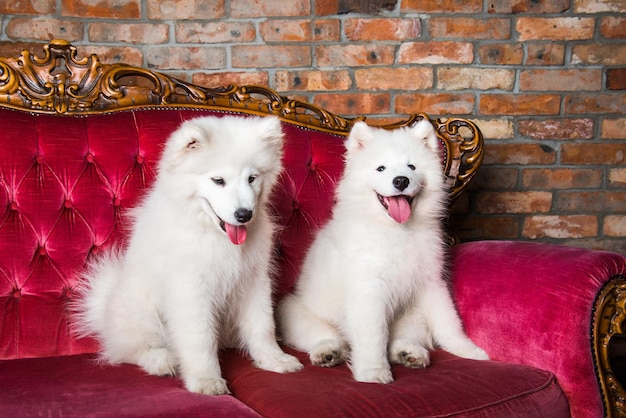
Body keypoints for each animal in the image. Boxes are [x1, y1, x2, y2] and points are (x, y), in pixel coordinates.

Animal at [73, 114, 302, 396]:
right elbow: (199, 337)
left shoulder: (253, 280)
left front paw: (274, 360)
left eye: (252, 178)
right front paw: (206, 380)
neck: (213, 234)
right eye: (218, 180)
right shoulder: (190, 287)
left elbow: (262, 326)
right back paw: (162, 361)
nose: (244, 214)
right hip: (143, 308)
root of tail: (104, 309)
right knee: (133, 348)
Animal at [278, 119, 488, 384]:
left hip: (412, 314)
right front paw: (374, 372)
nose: (401, 181)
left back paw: (409, 353)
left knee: (403, 338)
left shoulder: (431, 282)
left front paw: (469, 351)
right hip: (293, 310)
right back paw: (328, 352)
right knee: (325, 336)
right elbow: (373, 335)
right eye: (380, 168)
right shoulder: (369, 289)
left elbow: (449, 321)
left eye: (411, 166)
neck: (396, 230)